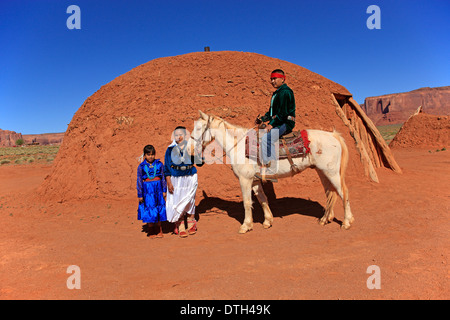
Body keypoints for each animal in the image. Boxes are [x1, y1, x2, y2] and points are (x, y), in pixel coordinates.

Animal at [192, 110, 354, 232]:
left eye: (198, 128)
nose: (191, 150)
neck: (239, 146)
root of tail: (333, 135)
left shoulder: (245, 179)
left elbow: (247, 202)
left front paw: (246, 225)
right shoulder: (254, 180)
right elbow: (262, 199)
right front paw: (268, 221)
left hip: (332, 172)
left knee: (343, 192)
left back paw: (347, 222)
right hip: (322, 172)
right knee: (330, 192)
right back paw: (325, 219)